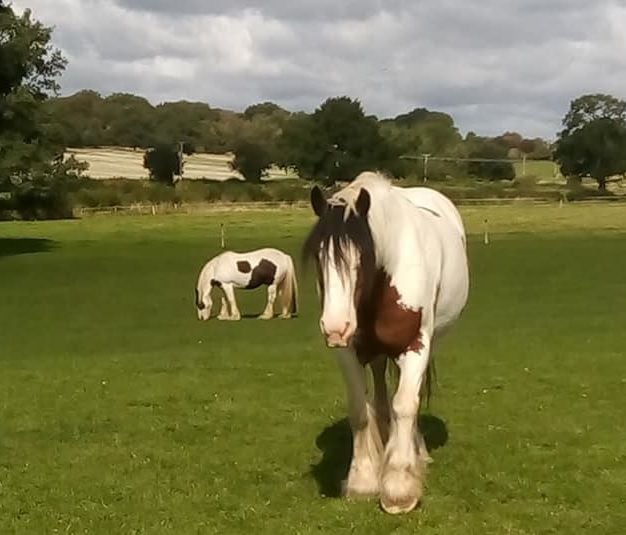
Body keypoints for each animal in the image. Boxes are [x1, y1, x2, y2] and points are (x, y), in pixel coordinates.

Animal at [300, 172, 466, 516]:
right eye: (319, 256)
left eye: (362, 257)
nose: (334, 327)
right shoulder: (348, 352)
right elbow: (359, 410)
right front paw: (363, 480)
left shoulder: (416, 346)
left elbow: (405, 405)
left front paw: (399, 489)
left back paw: (416, 452)